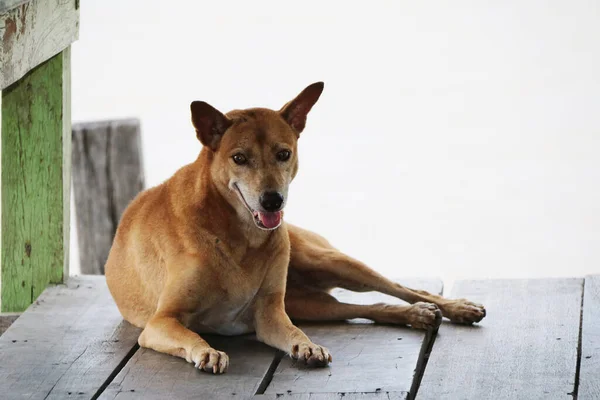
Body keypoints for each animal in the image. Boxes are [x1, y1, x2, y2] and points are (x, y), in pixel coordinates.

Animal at [105, 83, 486, 374]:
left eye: (284, 154)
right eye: (239, 158)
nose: (273, 201)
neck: (237, 235)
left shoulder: (271, 316)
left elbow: (294, 334)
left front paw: (307, 346)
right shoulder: (161, 322)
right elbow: (190, 336)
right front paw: (207, 351)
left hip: (329, 263)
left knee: (401, 287)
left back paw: (453, 308)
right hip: (311, 304)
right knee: (361, 309)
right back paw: (415, 315)